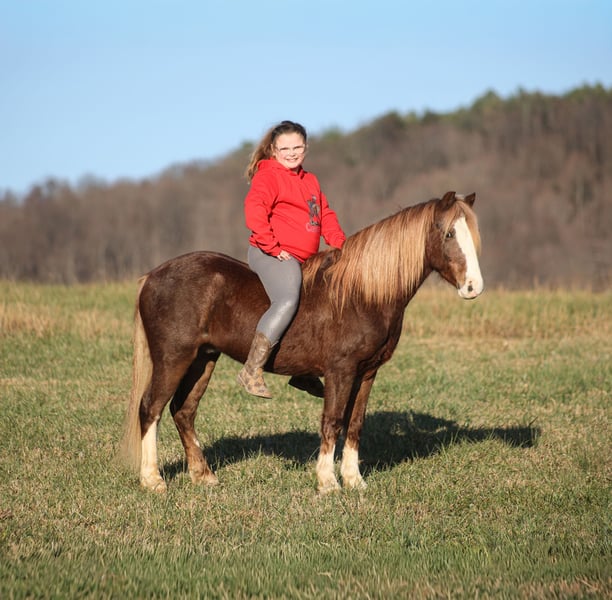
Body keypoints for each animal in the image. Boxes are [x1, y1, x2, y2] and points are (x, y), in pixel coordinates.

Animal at [120, 191, 484, 494]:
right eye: (449, 234)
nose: (473, 287)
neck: (362, 293)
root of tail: (152, 277)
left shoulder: (367, 373)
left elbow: (355, 423)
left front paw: (354, 480)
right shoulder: (340, 371)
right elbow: (332, 422)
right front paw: (328, 482)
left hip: (203, 359)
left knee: (183, 411)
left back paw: (203, 475)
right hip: (173, 358)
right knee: (151, 408)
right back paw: (152, 480)